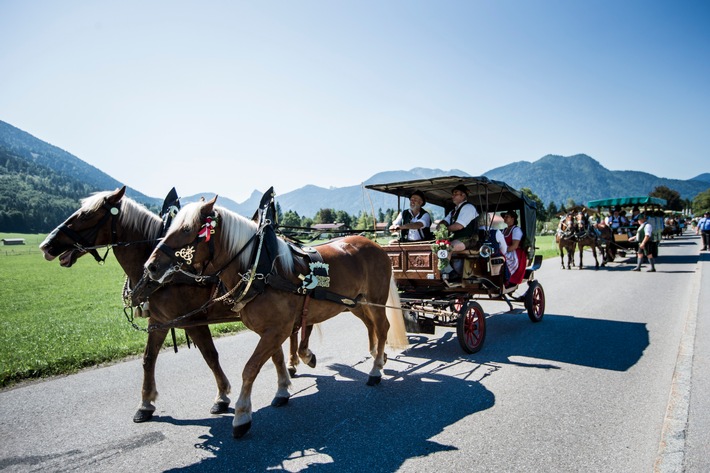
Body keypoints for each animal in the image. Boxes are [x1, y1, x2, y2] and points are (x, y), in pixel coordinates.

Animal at [37, 186, 312, 422]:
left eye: (86, 215)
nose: (46, 246)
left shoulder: (191, 320)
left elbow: (210, 356)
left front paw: (222, 395)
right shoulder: (159, 320)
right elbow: (149, 359)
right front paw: (145, 403)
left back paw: (295, 363)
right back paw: (288, 373)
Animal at [142, 195, 408, 438]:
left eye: (187, 229)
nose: (151, 266)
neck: (260, 269)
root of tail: (375, 245)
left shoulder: (276, 329)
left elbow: (250, 368)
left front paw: (242, 415)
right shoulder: (271, 330)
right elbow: (276, 359)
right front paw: (282, 390)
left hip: (375, 299)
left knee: (382, 327)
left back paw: (375, 370)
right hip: (354, 302)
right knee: (370, 325)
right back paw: (378, 356)